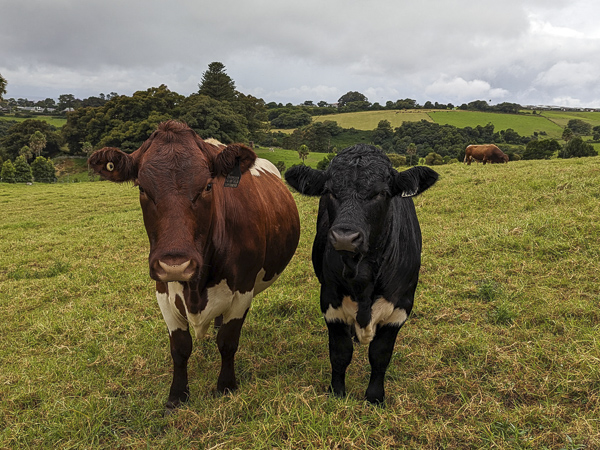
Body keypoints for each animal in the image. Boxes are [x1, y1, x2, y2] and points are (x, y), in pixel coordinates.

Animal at [88, 120, 300, 412]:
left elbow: (228, 342)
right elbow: (180, 348)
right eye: (142, 188)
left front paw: (226, 386)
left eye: (209, 186)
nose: (176, 264)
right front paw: (177, 395)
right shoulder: (163, 290)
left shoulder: (243, 291)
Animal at [284, 144, 438, 404]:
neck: (362, 277)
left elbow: (380, 355)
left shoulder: (401, 306)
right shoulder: (329, 300)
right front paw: (337, 392)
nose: (345, 237)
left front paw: (375, 397)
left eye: (381, 193)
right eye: (329, 191)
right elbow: (340, 353)